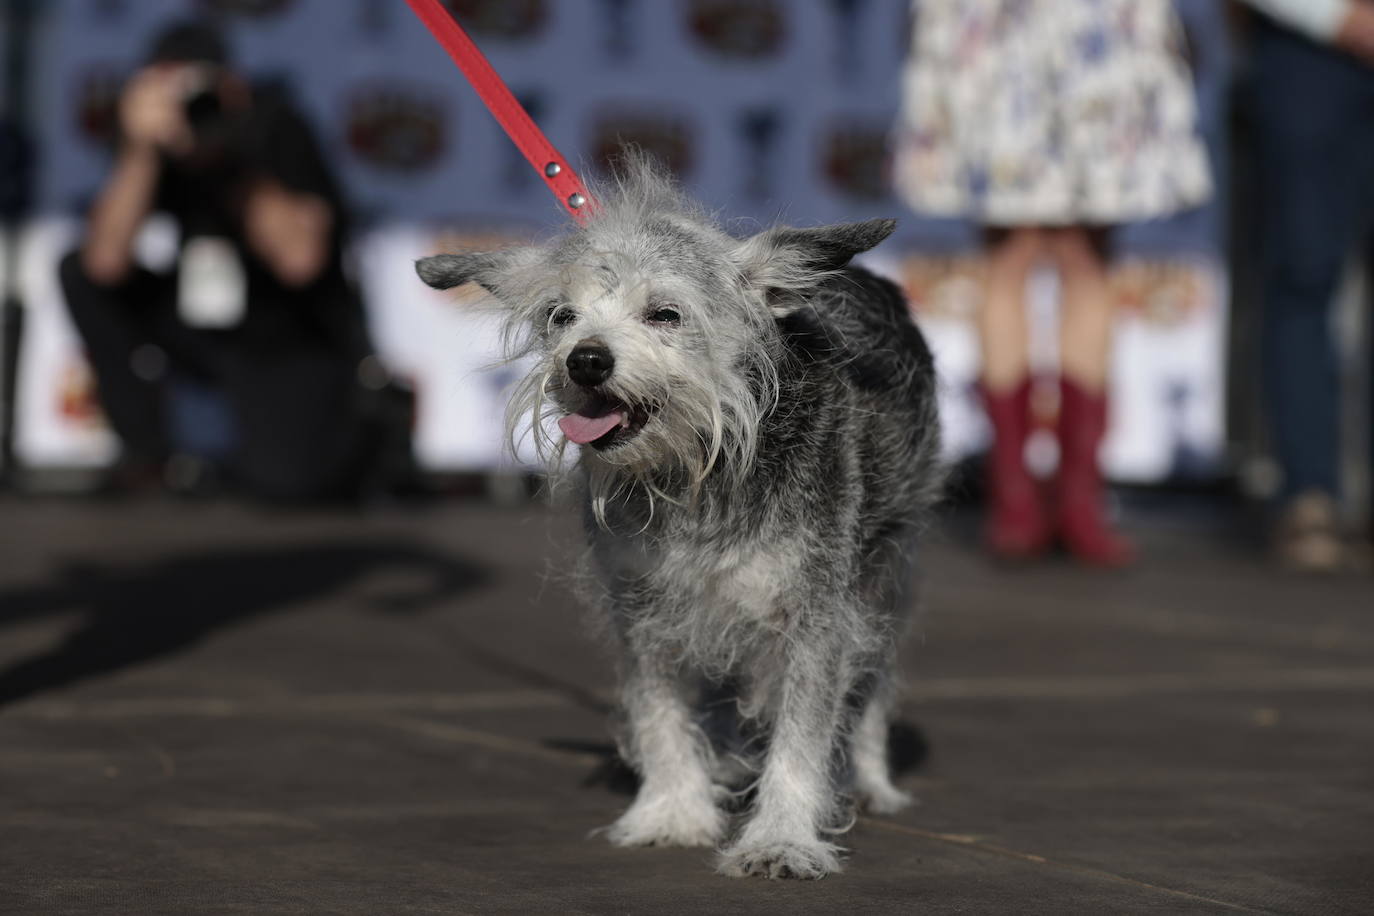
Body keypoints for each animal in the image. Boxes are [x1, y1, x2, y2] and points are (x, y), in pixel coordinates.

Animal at [412, 159, 939, 878]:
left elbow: (803, 730)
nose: (585, 359)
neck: (696, 470)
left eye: (665, 313)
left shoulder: (817, 612)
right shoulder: (645, 607)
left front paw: (781, 835)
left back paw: (868, 777)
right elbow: (659, 712)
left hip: (885, 573)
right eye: (561, 315)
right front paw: (672, 810)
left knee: (874, 680)